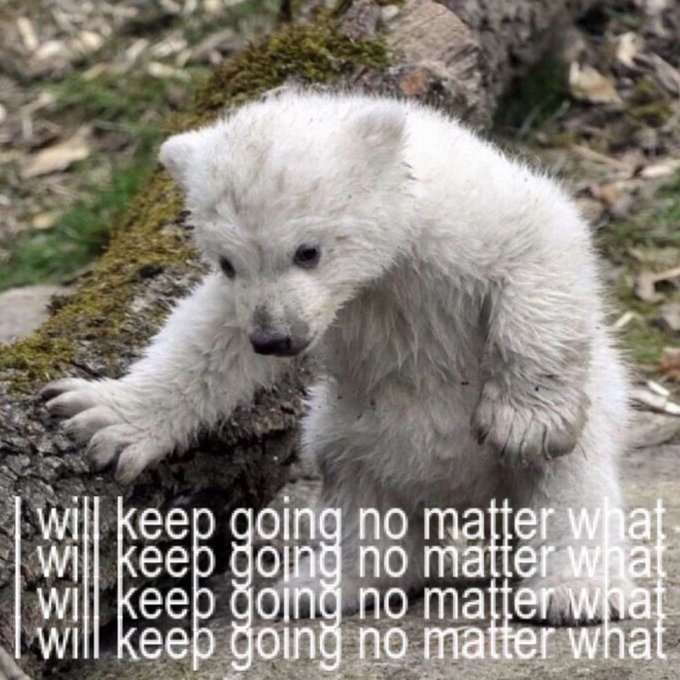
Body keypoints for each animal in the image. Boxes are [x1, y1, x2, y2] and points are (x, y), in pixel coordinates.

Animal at [42, 90, 632, 625]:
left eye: (308, 250)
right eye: (228, 261)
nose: (273, 338)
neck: (385, 267)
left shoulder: (463, 221)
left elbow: (542, 247)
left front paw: (524, 421)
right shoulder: (281, 303)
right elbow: (209, 336)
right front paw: (99, 417)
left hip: (587, 415)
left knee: (571, 490)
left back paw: (571, 591)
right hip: (347, 426)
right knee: (356, 491)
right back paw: (318, 585)